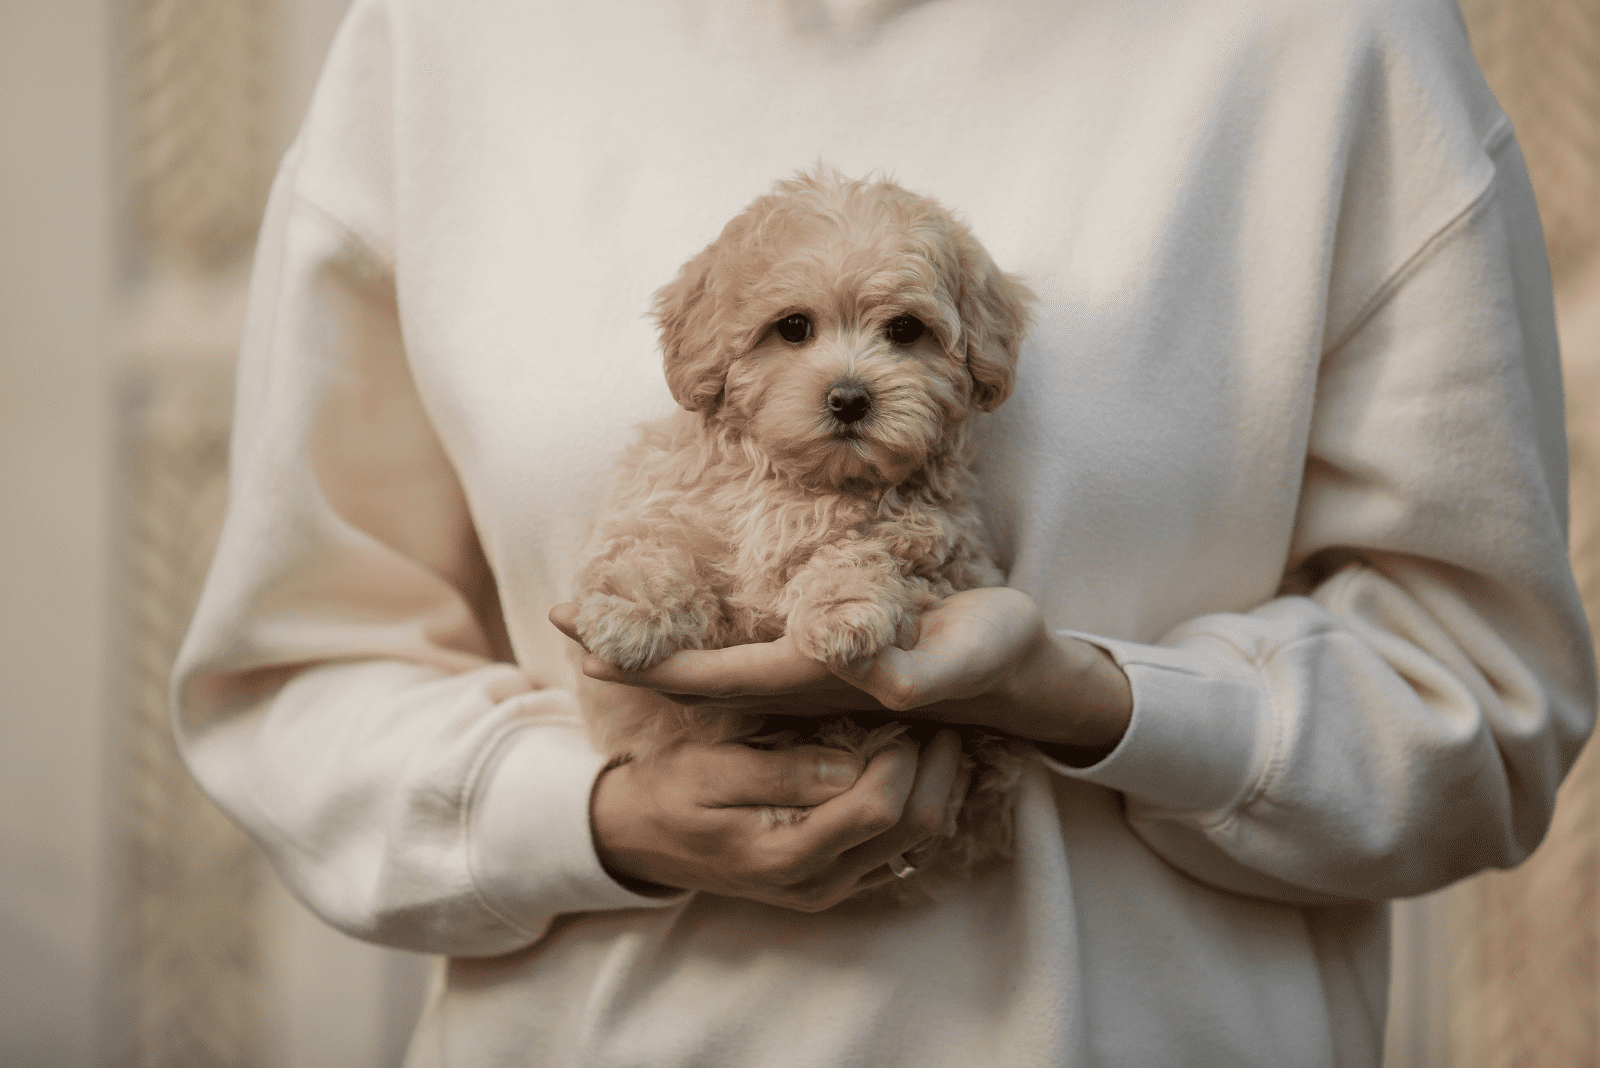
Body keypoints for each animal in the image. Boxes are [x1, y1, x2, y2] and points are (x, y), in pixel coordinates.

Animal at [576, 168, 1036, 882]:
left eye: (906, 330)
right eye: (792, 328)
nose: (849, 399)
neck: (802, 484)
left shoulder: (946, 553)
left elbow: (865, 548)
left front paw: (841, 607)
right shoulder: (672, 506)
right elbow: (658, 548)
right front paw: (632, 612)